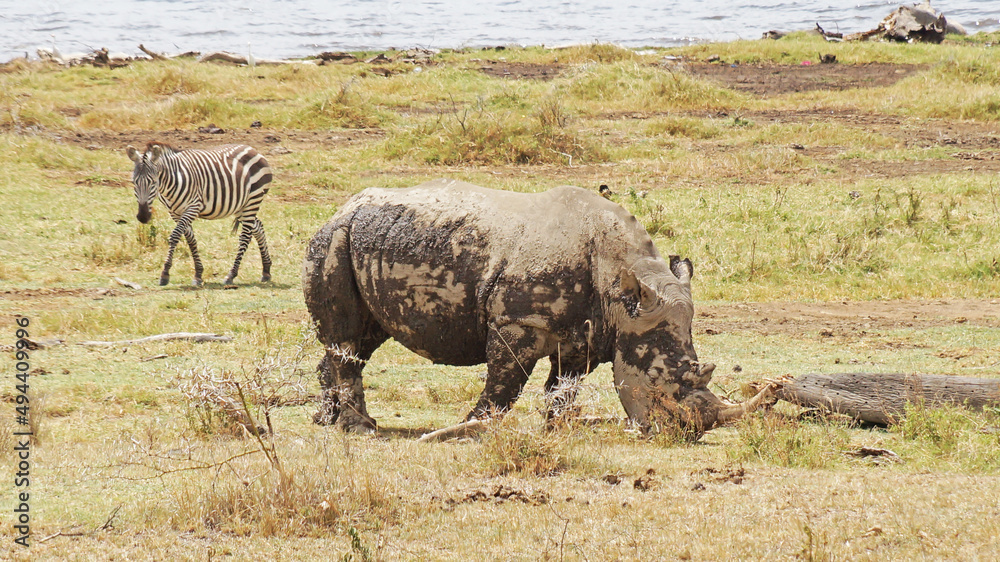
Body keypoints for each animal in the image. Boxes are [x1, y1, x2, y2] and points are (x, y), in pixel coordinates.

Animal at [302, 179, 772, 439]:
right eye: (660, 383)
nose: (683, 435)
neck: (624, 289)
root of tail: (338, 209)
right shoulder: (517, 322)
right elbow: (504, 383)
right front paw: (474, 428)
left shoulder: (589, 334)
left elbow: (563, 387)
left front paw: (555, 428)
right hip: (332, 240)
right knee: (347, 341)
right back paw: (360, 428)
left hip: (362, 240)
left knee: (361, 339)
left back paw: (327, 420)